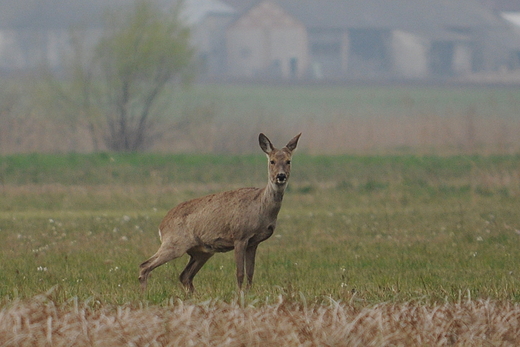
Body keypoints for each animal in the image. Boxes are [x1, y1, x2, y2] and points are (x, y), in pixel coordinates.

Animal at [138, 133, 300, 294]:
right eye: (272, 161)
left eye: (288, 161)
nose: (280, 176)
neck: (261, 207)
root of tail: (162, 225)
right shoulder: (240, 236)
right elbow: (240, 272)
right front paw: (239, 294)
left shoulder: (254, 242)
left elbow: (250, 272)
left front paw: (249, 293)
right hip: (174, 243)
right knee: (145, 266)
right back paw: (145, 294)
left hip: (202, 252)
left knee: (184, 275)